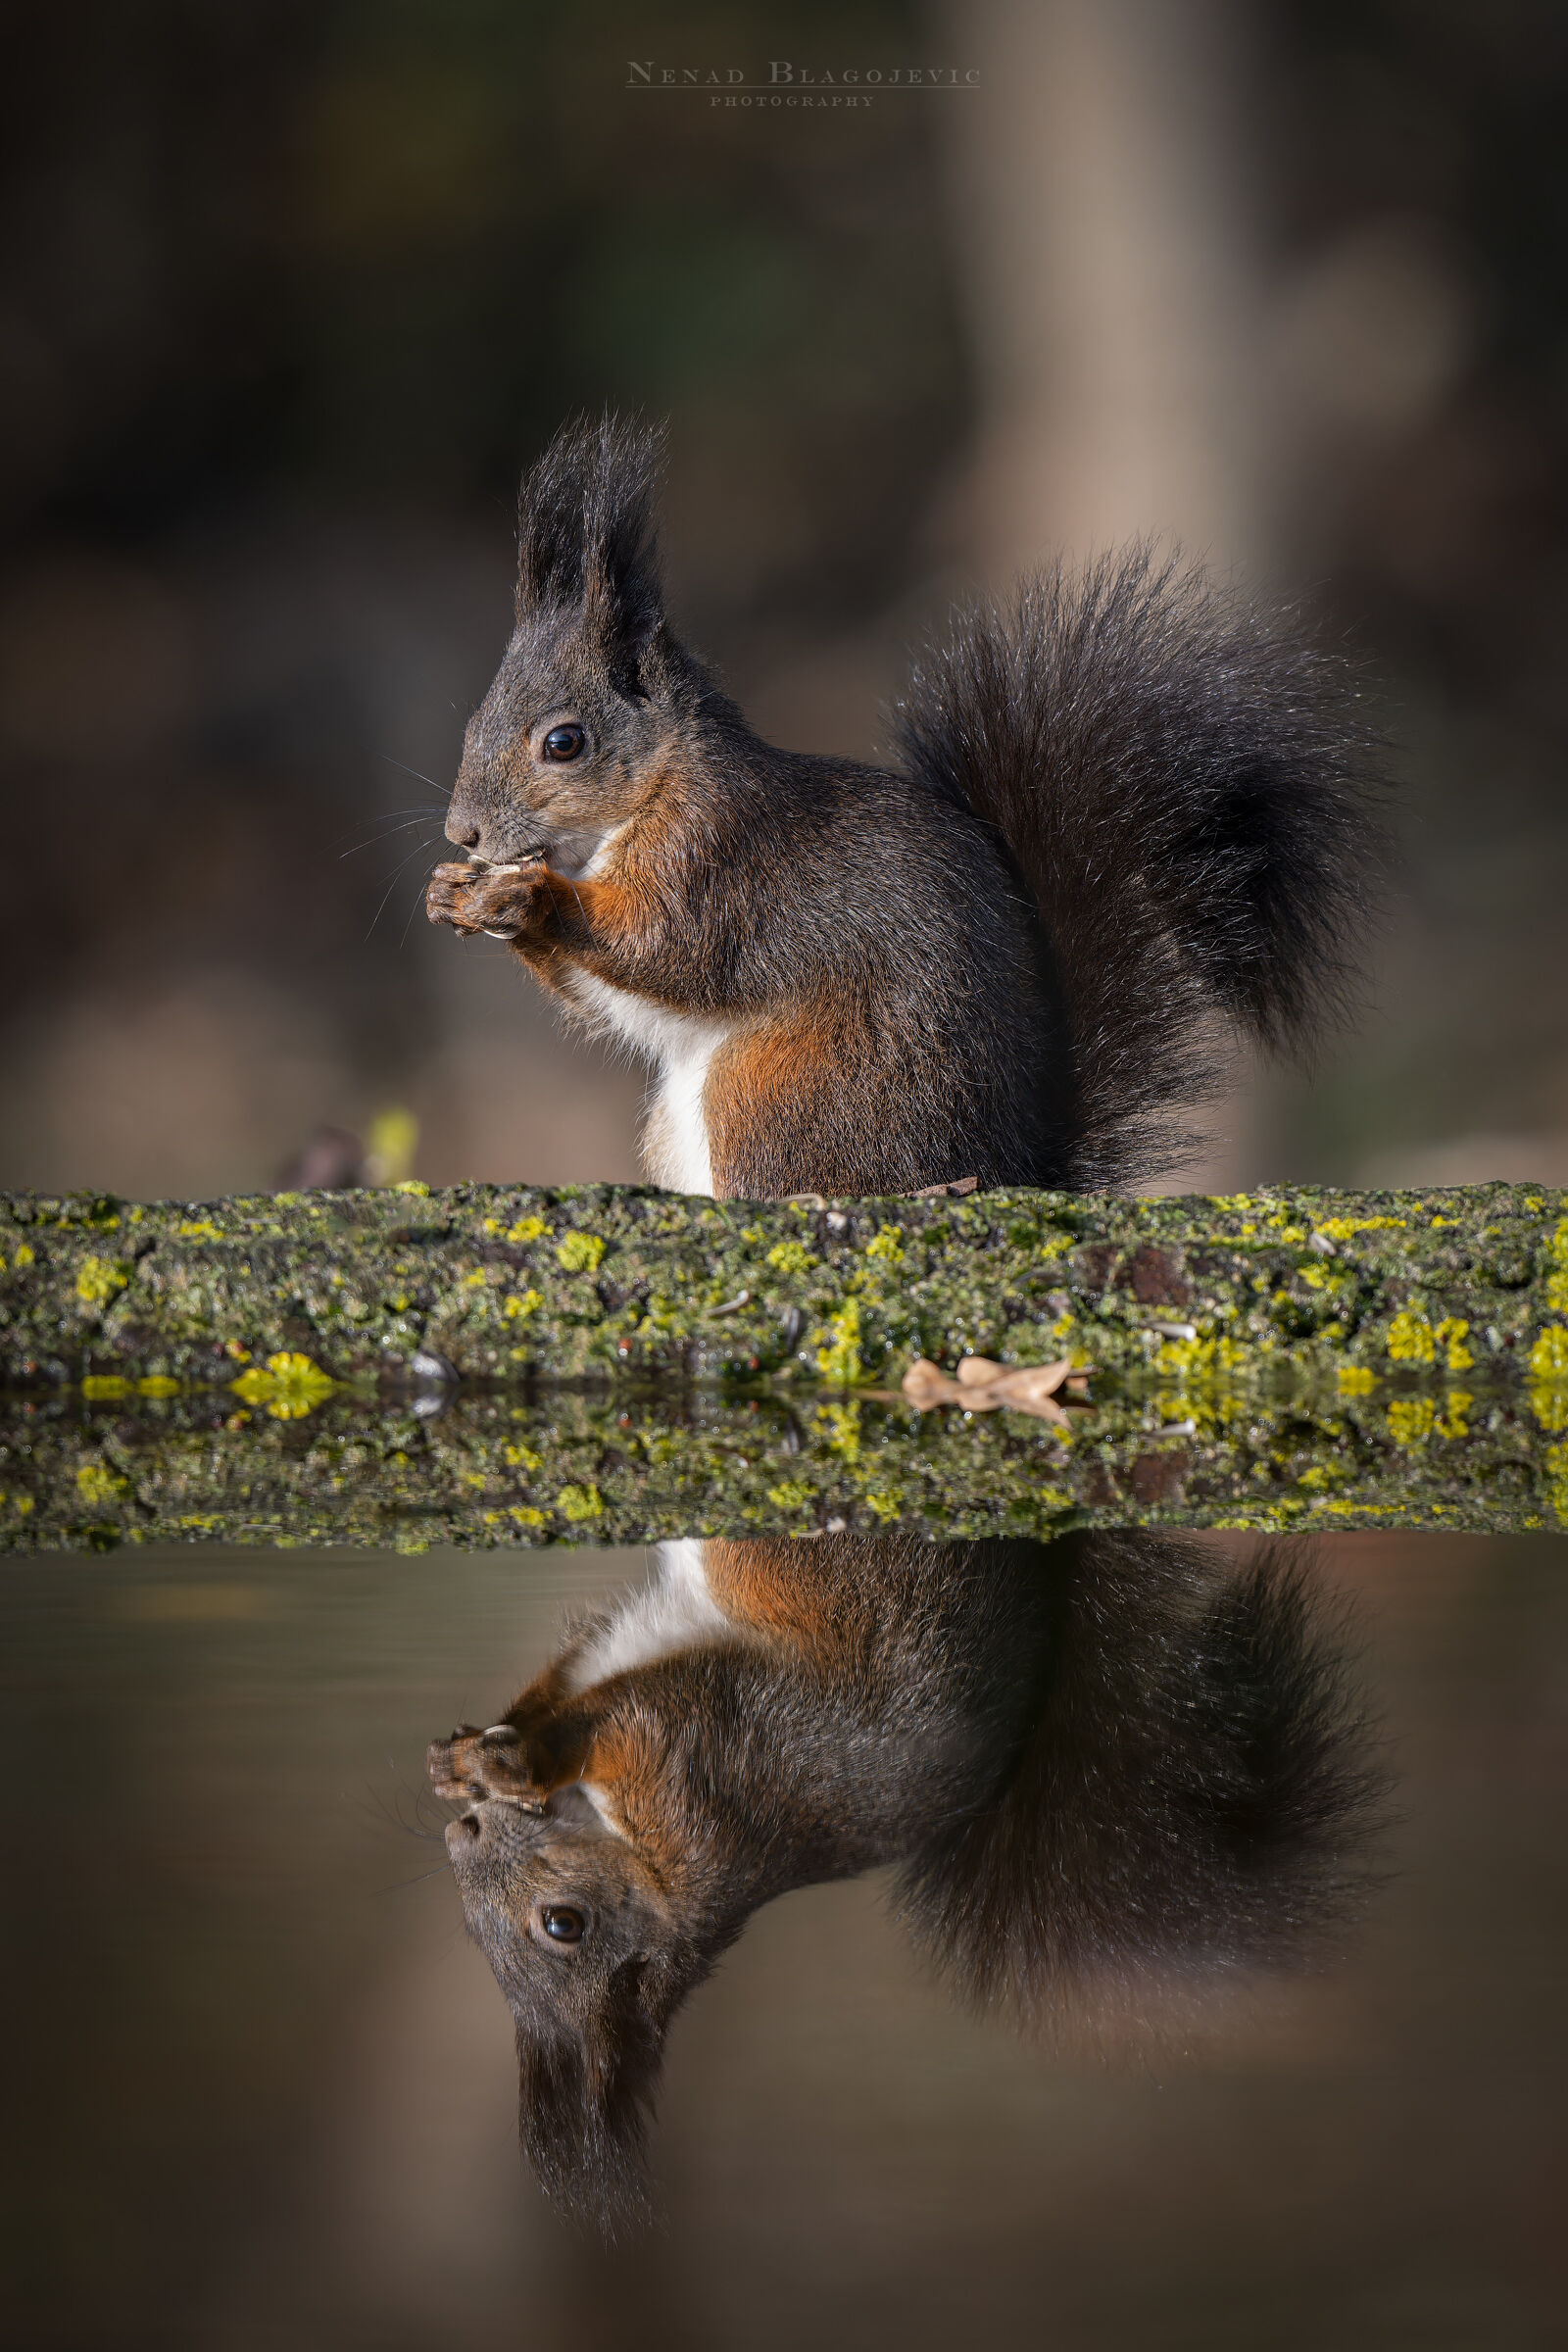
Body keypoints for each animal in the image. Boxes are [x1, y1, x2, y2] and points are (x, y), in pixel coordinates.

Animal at [427, 416, 1384, 1198]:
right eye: (472, 721)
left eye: (564, 742)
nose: (461, 831)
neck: (647, 795)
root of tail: (999, 1170)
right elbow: (606, 1002)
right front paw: (454, 892)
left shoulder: (720, 852)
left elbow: (667, 946)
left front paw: (528, 895)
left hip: (777, 1093)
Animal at [429, 1529, 1381, 2236]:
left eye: (562, 1924)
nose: (461, 1835)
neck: (657, 1869)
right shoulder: (609, 1653)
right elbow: (556, 1680)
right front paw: (463, 1759)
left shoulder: (689, 1756)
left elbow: (607, 1719)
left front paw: (507, 1761)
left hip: (823, 1561)